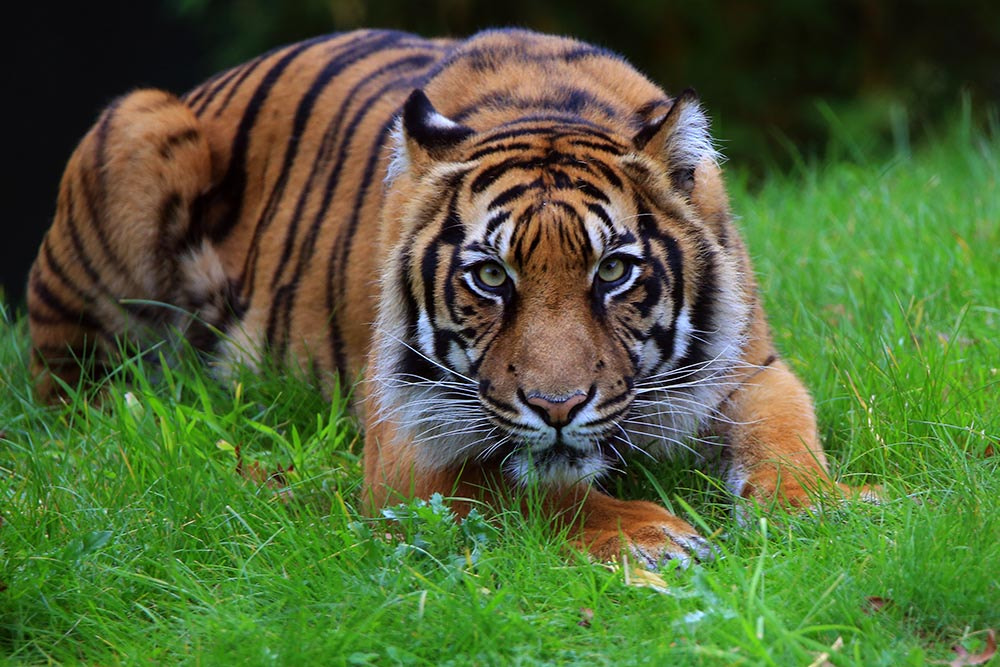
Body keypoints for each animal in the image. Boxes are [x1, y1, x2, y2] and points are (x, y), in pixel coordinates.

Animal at [27, 28, 875, 568]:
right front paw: (651, 535)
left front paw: (818, 504)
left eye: (612, 271)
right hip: (133, 126)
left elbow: (786, 435)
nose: (558, 406)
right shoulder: (404, 447)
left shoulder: (750, 367)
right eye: (490, 277)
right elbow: (523, 489)